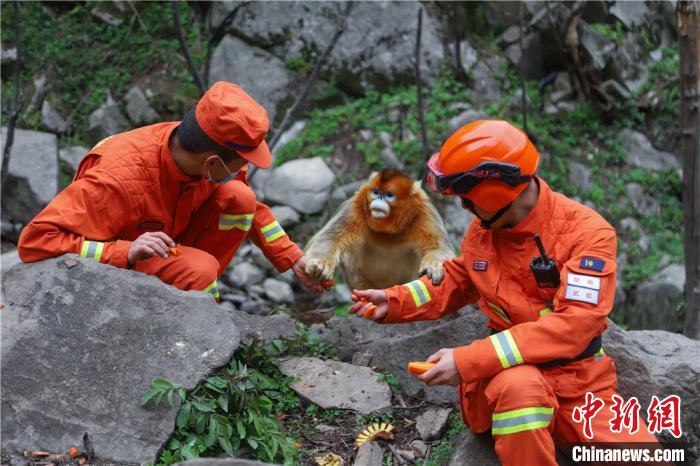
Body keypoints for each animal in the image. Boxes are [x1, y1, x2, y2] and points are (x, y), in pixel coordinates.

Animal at [304, 169, 454, 290]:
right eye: (376, 192)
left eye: (388, 195)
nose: (380, 198)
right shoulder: (357, 205)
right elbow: (330, 237)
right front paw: (319, 266)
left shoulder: (424, 213)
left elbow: (439, 248)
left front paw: (433, 266)